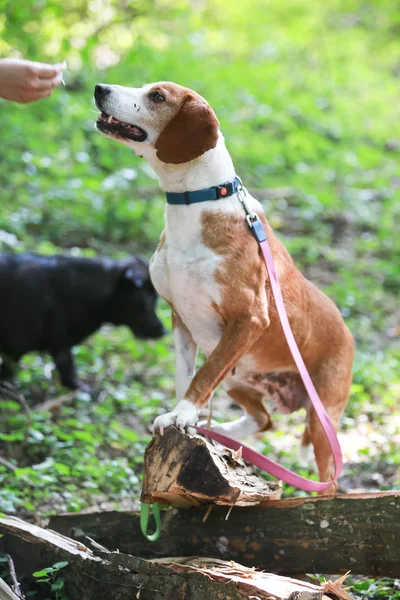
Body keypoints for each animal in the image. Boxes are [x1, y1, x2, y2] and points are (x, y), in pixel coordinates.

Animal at [95, 81, 354, 492]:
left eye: (157, 96)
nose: (99, 87)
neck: (195, 203)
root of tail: (348, 333)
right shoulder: (182, 321)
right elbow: (187, 375)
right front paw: (184, 418)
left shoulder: (250, 320)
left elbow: (201, 377)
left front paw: (182, 415)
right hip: (236, 374)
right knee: (264, 419)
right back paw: (227, 433)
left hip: (319, 417)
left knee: (327, 480)